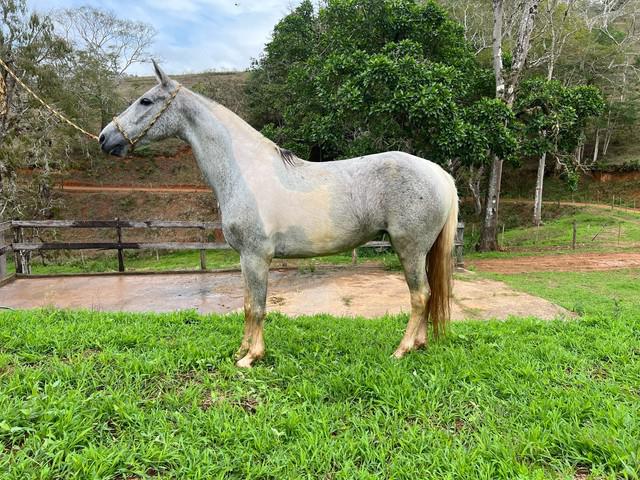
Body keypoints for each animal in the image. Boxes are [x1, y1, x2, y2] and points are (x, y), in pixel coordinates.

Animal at [100, 61, 458, 368]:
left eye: (145, 101)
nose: (104, 138)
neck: (245, 170)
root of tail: (439, 173)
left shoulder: (256, 256)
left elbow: (258, 307)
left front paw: (251, 357)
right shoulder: (245, 258)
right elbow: (247, 305)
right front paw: (241, 350)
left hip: (410, 248)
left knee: (420, 296)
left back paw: (402, 349)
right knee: (426, 296)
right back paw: (420, 344)